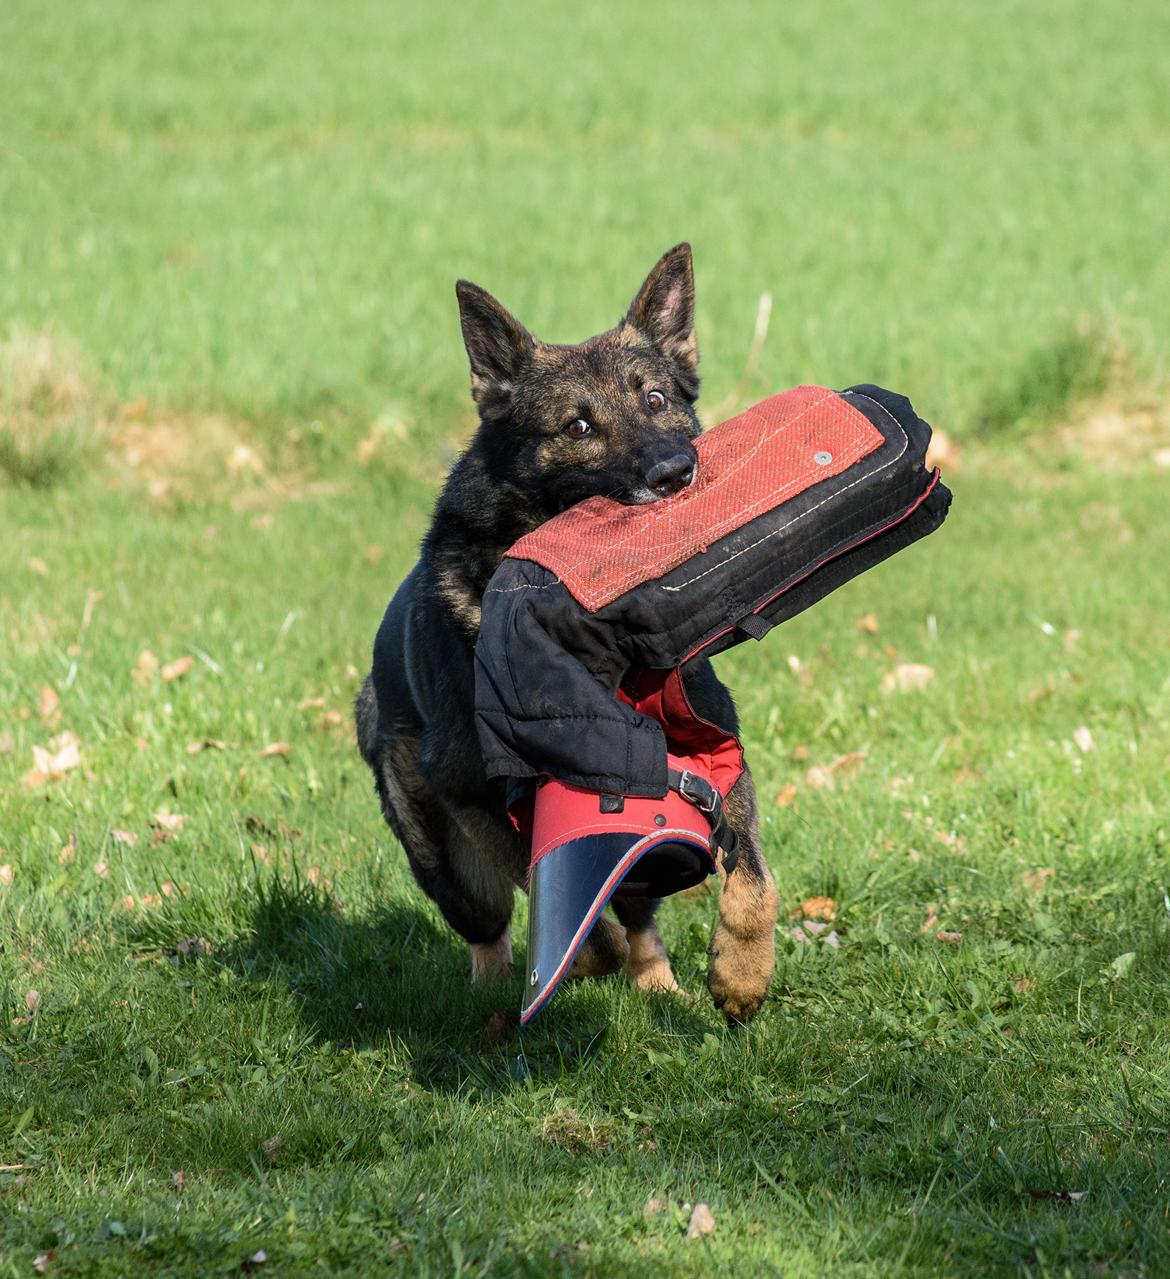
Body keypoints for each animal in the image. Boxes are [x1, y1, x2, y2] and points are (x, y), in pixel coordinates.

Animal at [358, 244, 777, 1023]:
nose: (674, 473)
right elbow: (565, 909)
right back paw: (497, 990)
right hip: (442, 860)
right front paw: (578, 958)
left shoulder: (718, 753)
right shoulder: (471, 790)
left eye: (655, 399)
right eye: (577, 428)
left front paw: (741, 973)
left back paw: (658, 981)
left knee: (641, 916)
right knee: (490, 929)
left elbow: (755, 877)